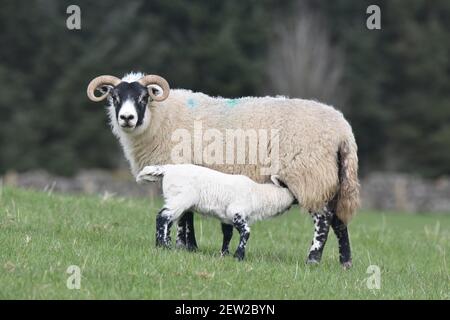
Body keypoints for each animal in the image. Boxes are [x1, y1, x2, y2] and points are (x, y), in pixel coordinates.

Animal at [135, 165, 298, 260]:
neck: (258, 195)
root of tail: (167, 169)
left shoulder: (227, 218)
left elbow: (228, 235)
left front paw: (224, 254)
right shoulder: (236, 212)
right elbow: (246, 232)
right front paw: (239, 256)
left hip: (174, 198)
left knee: (167, 221)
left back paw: (164, 245)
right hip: (180, 198)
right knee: (162, 217)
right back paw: (162, 245)